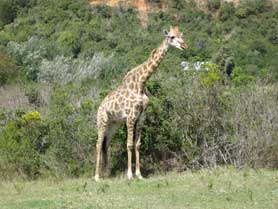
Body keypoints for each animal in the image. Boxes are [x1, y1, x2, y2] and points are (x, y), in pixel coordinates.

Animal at [94, 26, 188, 180]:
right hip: (102, 121)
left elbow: (138, 144)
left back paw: (106, 173)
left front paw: (139, 174)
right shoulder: (131, 117)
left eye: (181, 35)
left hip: (113, 124)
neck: (141, 82)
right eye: (172, 37)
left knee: (105, 144)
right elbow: (129, 144)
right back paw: (96, 176)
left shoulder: (141, 117)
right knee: (98, 144)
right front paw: (129, 175)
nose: (184, 46)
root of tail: (100, 106)